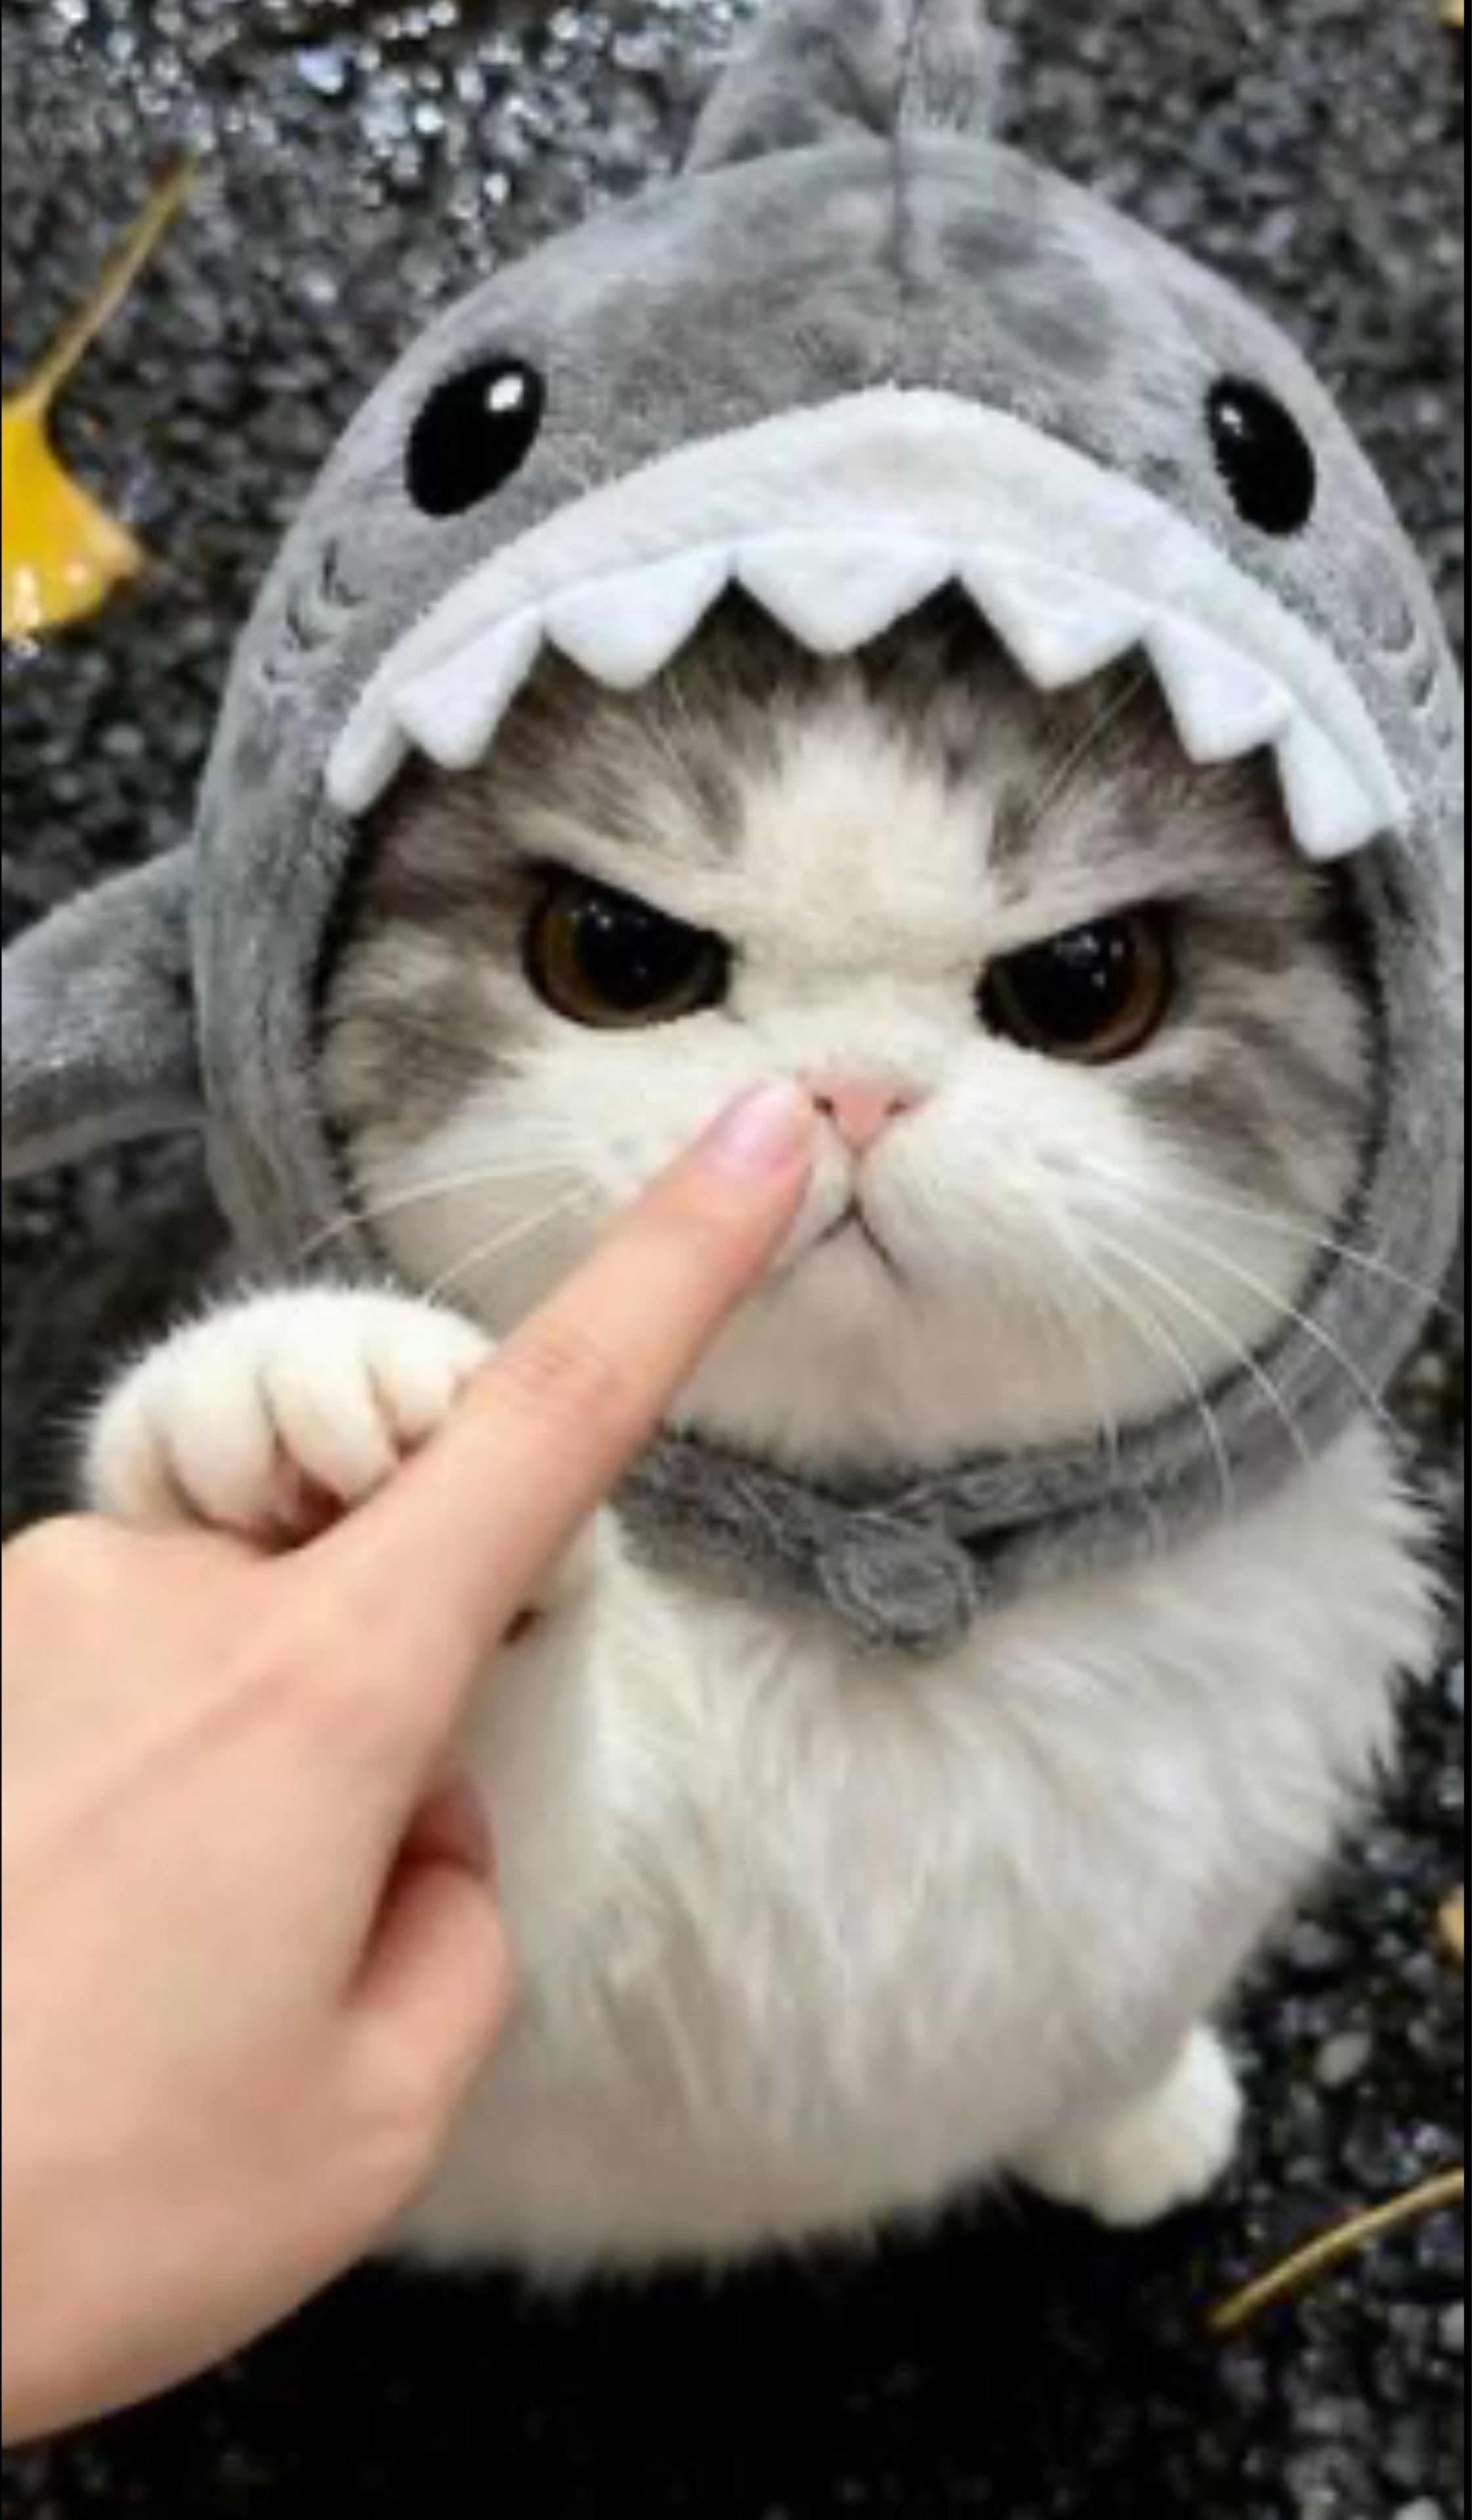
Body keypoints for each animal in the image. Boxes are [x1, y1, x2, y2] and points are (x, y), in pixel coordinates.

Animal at [89, 597, 1438, 2271]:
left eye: (1083, 982)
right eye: (615, 953)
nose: (848, 1091)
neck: (869, 1602)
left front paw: (1128, 2117)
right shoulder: (484, 2026)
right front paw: (315, 1440)